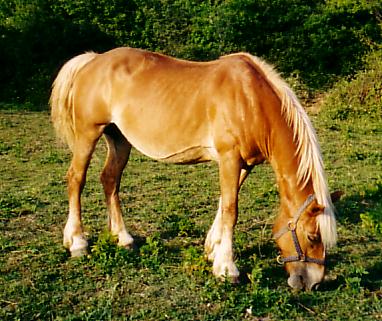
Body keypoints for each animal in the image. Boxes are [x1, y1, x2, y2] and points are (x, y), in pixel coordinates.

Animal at [50, 47, 338, 290]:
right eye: (312, 236)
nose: (313, 283)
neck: (250, 99)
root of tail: (93, 60)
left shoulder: (243, 165)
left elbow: (224, 205)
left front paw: (213, 250)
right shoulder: (229, 158)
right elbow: (231, 210)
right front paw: (227, 269)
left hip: (119, 139)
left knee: (110, 179)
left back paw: (123, 238)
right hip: (88, 135)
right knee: (76, 179)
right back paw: (77, 242)